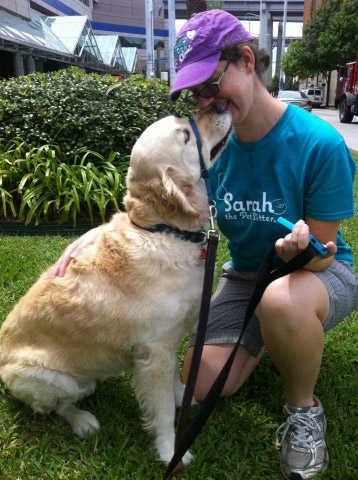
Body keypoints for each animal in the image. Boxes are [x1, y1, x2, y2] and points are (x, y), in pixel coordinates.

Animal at [0, 106, 232, 464]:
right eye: (185, 135)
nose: (220, 106)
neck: (165, 231)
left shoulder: (169, 344)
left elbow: (176, 382)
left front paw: (185, 397)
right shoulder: (155, 352)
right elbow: (163, 411)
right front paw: (170, 452)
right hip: (50, 379)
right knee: (56, 407)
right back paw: (82, 421)